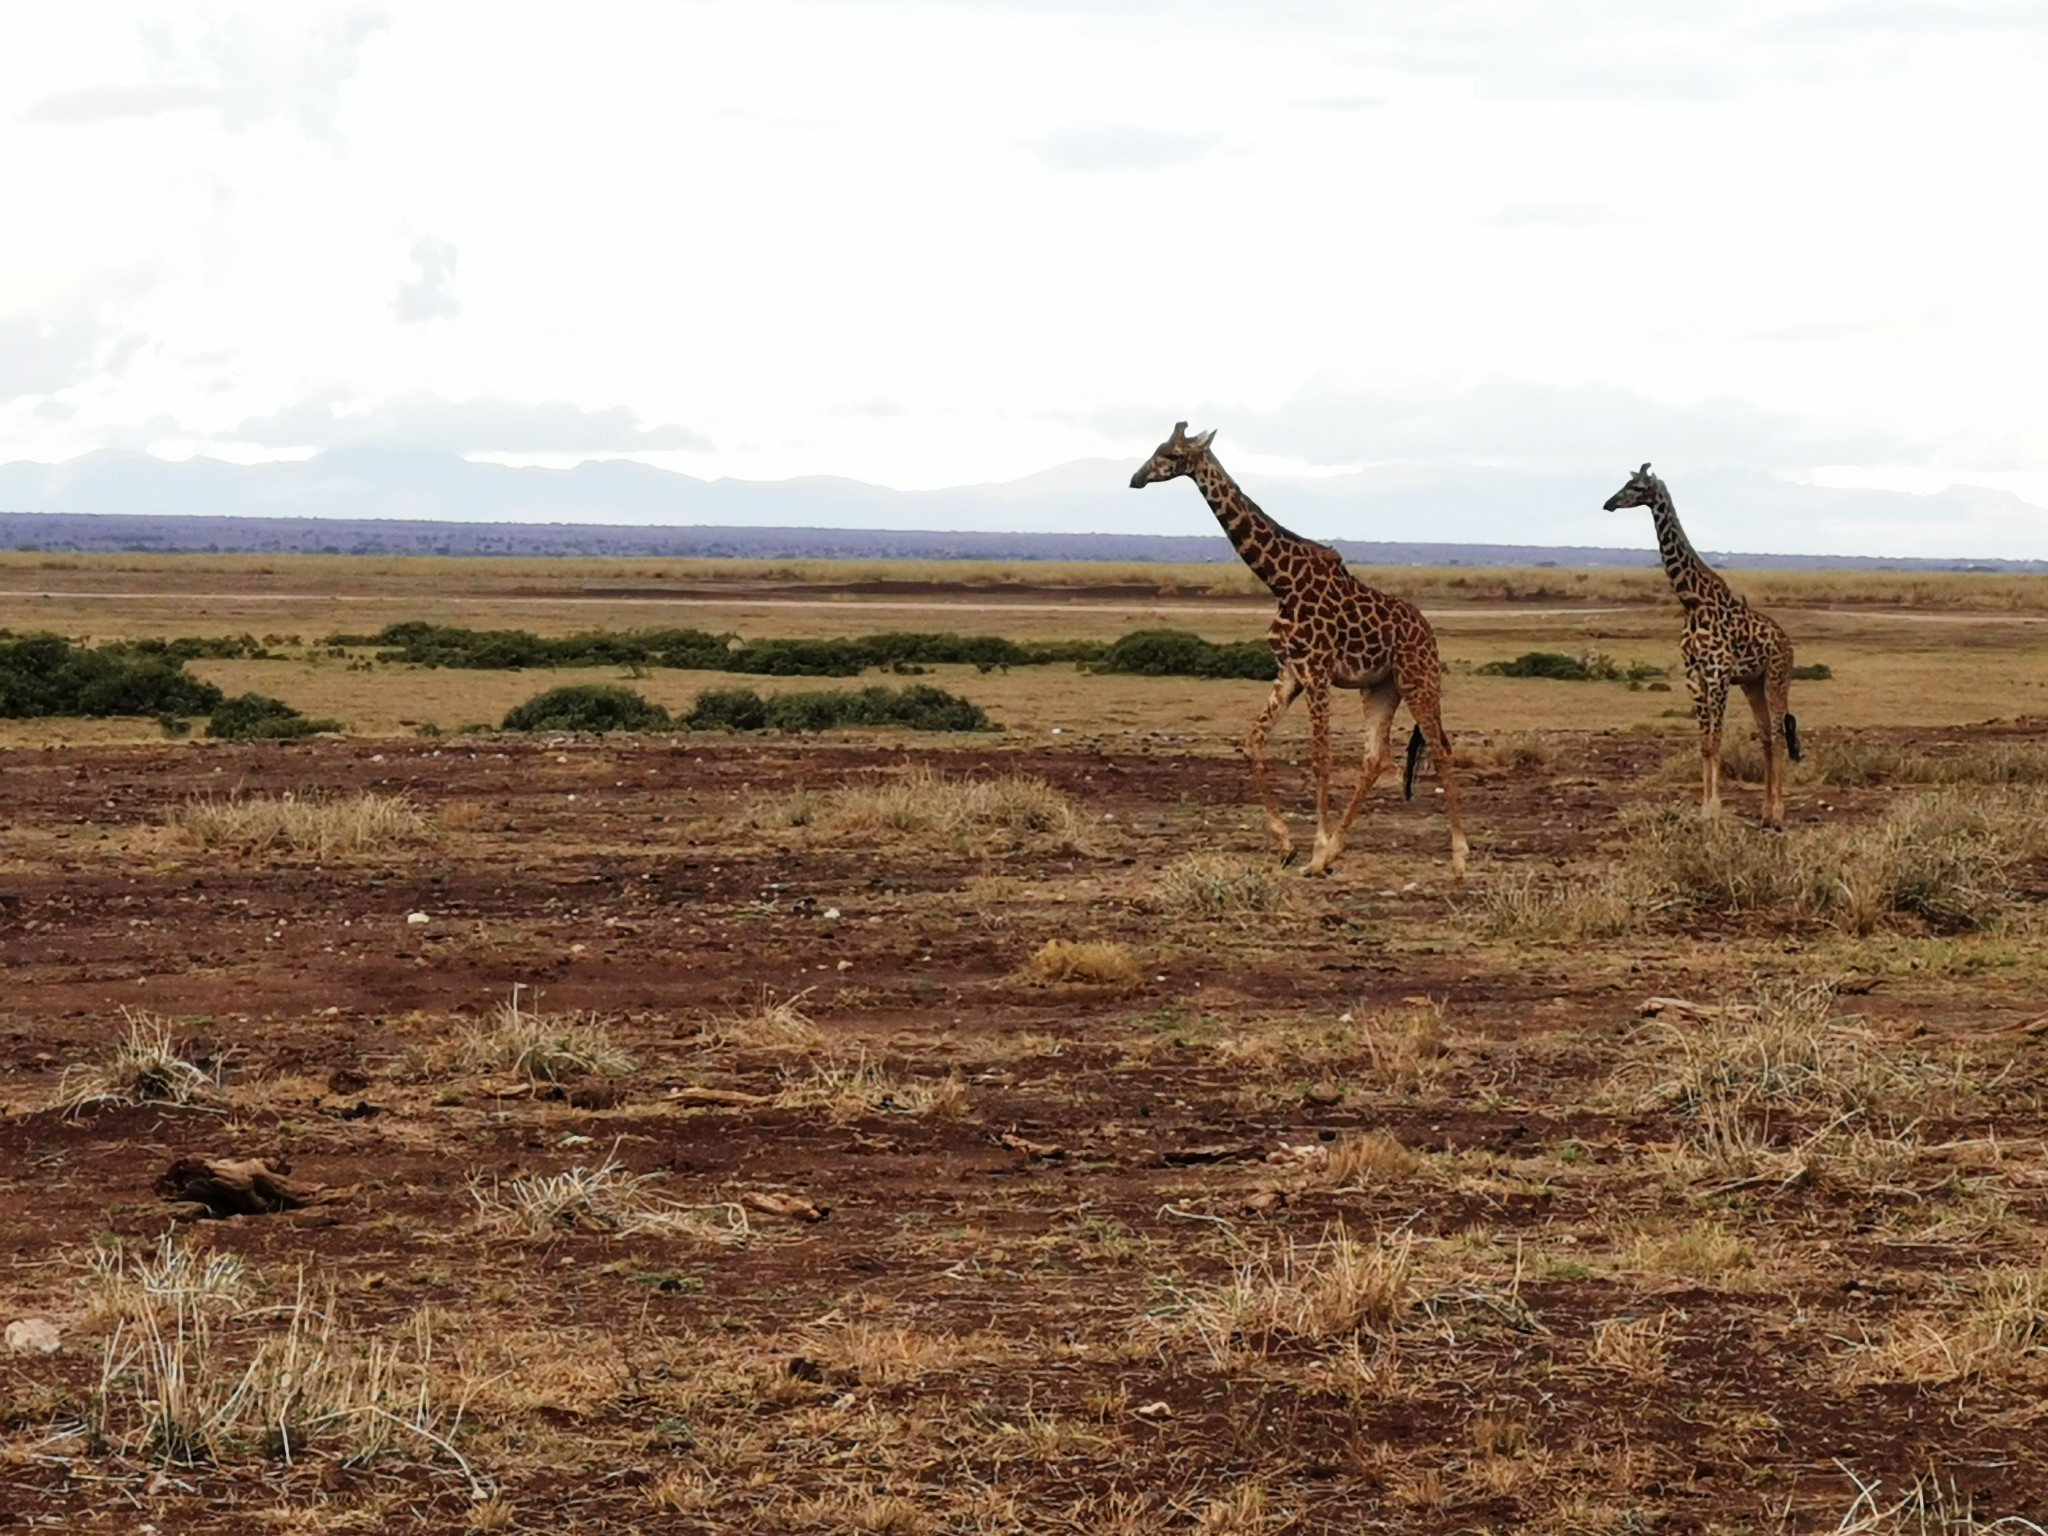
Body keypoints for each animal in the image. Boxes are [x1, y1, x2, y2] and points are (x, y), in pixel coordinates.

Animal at [1130, 421, 1466, 876]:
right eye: (1157, 447)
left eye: (1173, 454)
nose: (1136, 478)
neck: (1281, 583)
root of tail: (1429, 632)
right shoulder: (1290, 671)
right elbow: (1253, 742)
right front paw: (1289, 845)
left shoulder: (1316, 669)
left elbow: (1320, 757)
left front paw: (1315, 851)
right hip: (1380, 686)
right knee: (1376, 757)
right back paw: (1339, 848)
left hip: (1418, 679)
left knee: (1441, 747)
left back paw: (1460, 855)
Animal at [1605, 462, 1802, 831]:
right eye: (1624, 483)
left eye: (1637, 487)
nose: (1608, 504)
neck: (1691, 601)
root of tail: (1787, 642)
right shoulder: (1694, 675)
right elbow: (1705, 744)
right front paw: (1704, 809)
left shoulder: (1718, 674)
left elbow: (1717, 739)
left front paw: (1714, 808)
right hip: (1753, 683)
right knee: (1766, 736)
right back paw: (1765, 811)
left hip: (1776, 678)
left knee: (1779, 734)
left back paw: (1778, 813)